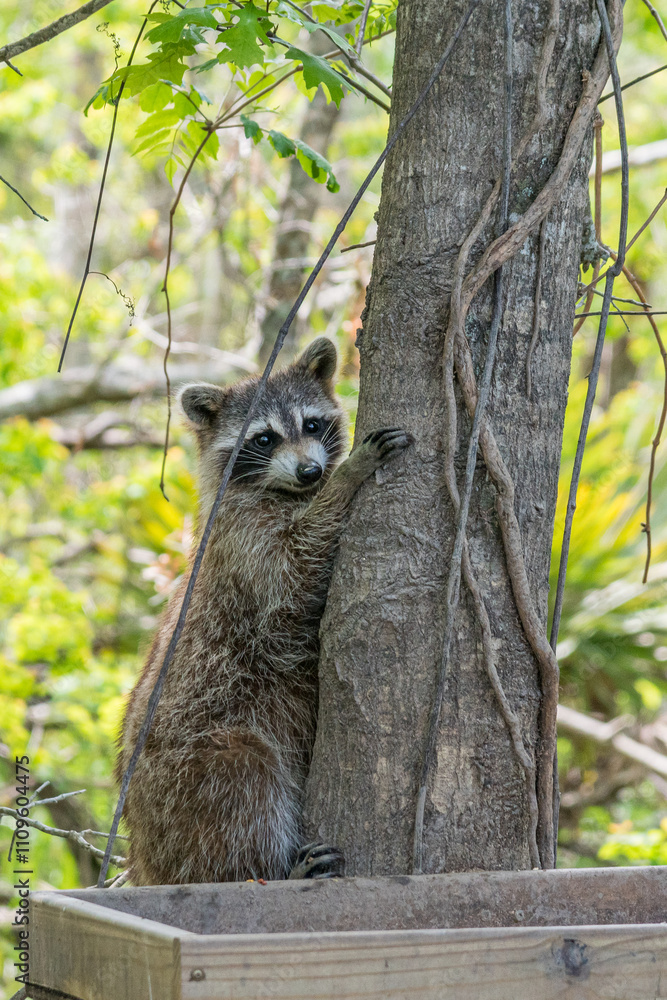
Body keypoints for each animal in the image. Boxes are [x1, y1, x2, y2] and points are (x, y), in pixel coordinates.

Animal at [117, 337, 411, 885]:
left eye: (312, 425)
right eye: (264, 438)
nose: (311, 472)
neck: (287, 493)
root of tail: (144, 854)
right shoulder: (244, 543)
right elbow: (294, 570)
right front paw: (347, 478)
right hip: (189, 769)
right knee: (242, 785)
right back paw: (270, 868)